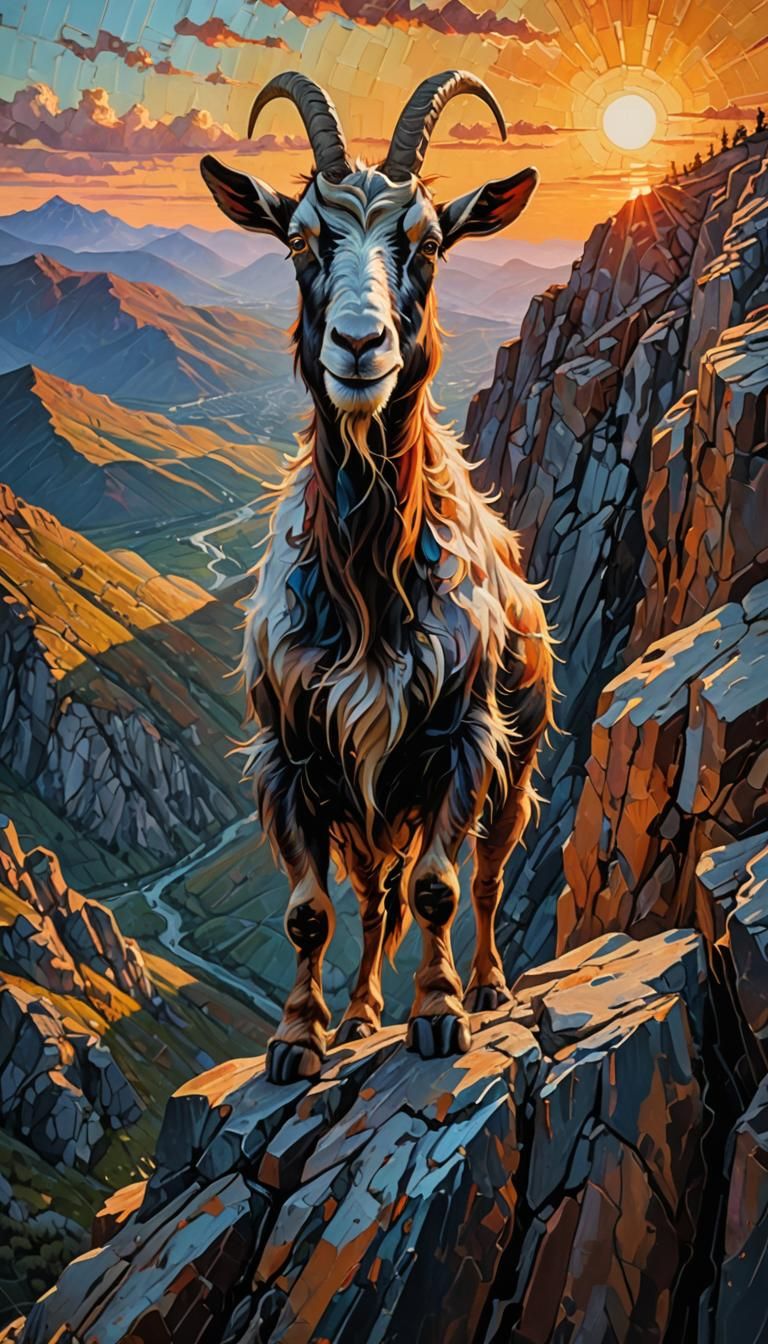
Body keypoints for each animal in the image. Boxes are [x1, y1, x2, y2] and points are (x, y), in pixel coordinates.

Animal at [201, 70, 555, 1084]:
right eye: (300, 240)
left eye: (430, 243)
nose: (360, 347)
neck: (366, 588)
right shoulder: (290, 757)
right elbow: (308, 911)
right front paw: (300, 1036)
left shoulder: (461, 738)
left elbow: (440, 887)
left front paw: (439, 1014)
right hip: (364, 808)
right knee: (372, 898)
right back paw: (361, 1015)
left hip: (516, 759)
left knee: (486, 874)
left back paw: (488, 986)